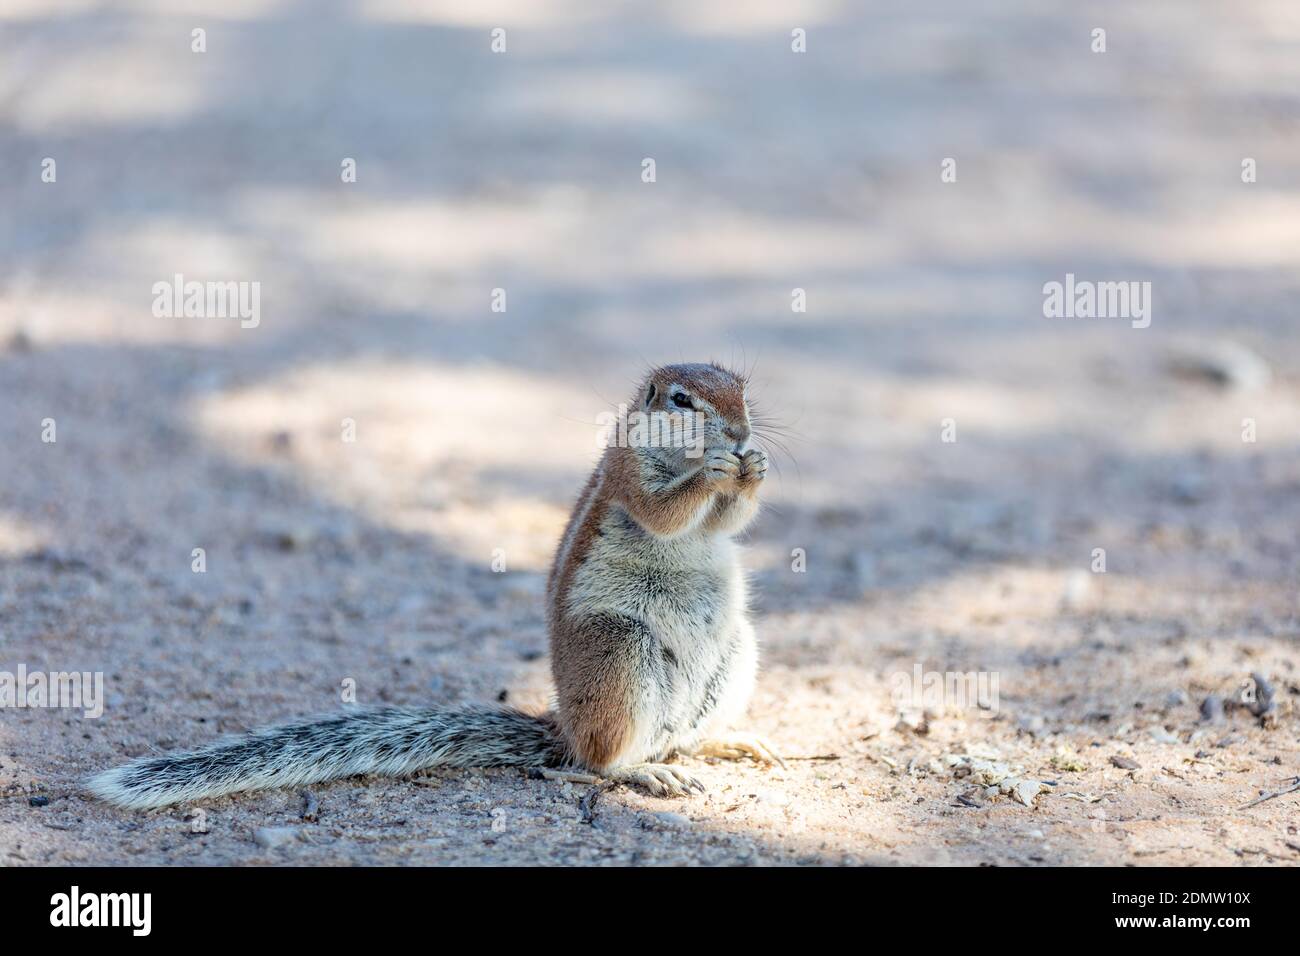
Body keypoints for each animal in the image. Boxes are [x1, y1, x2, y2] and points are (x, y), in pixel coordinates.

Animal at [94, 361, 780, 811]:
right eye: (682, 400)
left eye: (745, 390)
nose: (741, 432)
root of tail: (561, 723)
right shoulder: (629, 477)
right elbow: (664, 511)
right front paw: (715, 470)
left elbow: (730, 520)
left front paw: (754, 469)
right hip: (619, 650)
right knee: (595, 762)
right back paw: (641, 776)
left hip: (735, 655)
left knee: (675, 739)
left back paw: (724, 744)